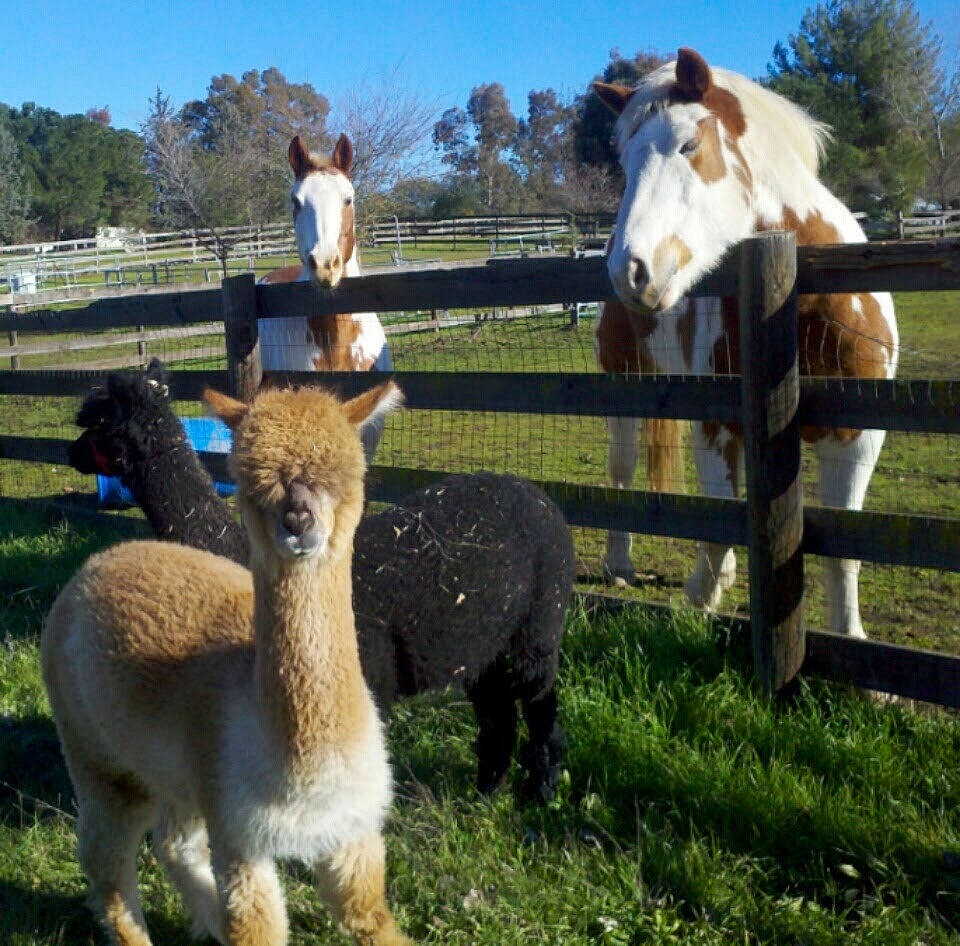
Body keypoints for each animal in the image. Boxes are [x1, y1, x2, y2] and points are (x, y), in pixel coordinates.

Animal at [44, 381, 412, 946]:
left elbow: (368, 914)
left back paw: (207, 919)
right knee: (105, 859)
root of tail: (103, 558)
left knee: (173, 842)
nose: (298, 522)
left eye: (343, 476)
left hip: (176, 770)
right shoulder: (240, 834)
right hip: (93, 748)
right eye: (251, 480)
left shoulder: (354, 832)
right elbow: (257, 927)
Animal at [69, 362, 574, 801]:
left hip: (539, 621)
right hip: (480, 639)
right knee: (496, 713)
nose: (70, 452)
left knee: (539, 700)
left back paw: (540, 793)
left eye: (99, 420)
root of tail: (537, 494)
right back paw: (486, 793)